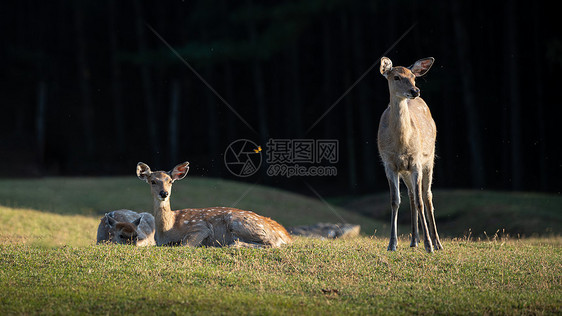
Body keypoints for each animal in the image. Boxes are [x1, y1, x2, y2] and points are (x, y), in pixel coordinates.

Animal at [137, 162, 294, 248]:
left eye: (170, 181)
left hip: (239, 222)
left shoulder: (200, 227)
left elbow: (185, 244)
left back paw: (233, 245)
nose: (164, 193)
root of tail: (286, 235)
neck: (167, 229)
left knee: (272, 243)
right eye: (153, 181)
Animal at [376, 56, 442, 253]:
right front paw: (392, 244)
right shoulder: (389, 164)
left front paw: (429, 246)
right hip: (405, 171)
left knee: (426, 196)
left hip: (430, 159)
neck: (401, 144)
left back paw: (437, 242)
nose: (415, 90)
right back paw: (414, 240)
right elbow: (395, 201)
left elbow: (421, 201)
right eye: (396, 77)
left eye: (413, 77)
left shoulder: (416, 163)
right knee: (412, 195)